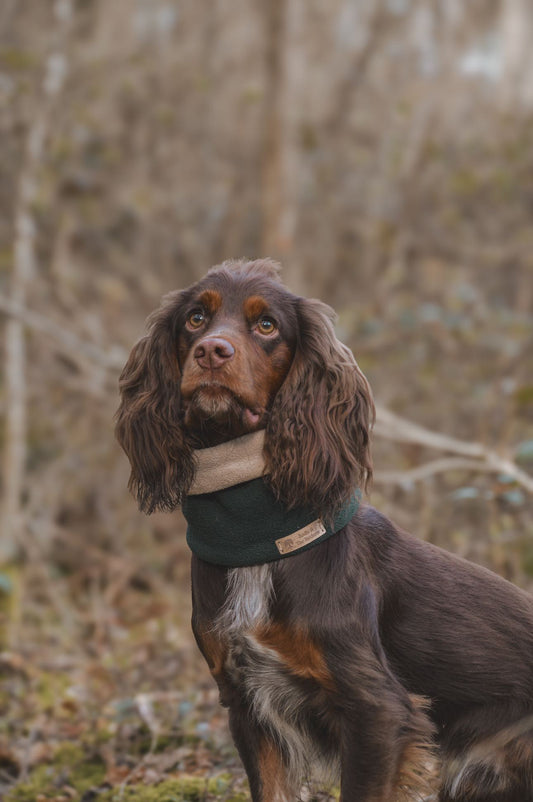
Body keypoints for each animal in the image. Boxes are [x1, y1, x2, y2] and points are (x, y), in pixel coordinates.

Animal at [115, 260, 532, 796]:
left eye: (266, 325)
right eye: (195, 318)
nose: (211, 351)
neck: (259, 539)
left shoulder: (376, 710)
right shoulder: (246, 701)